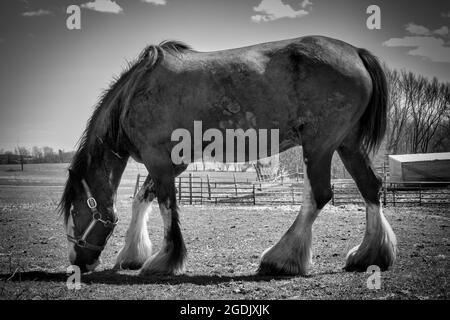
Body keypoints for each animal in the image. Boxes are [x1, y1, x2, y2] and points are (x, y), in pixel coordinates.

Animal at [59, 35, 398, 276]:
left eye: (75, 212)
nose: (77, 262)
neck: (137, 92)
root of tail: (356, 52)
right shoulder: (172, 164)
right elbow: (141, 200)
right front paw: (133, 254)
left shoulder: (158, 160)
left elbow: (167, 206)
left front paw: (165, 260)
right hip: (347, 144)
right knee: (370, 187)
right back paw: (370, 255)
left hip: (319, 145)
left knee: (319, 195)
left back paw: (281, 259)